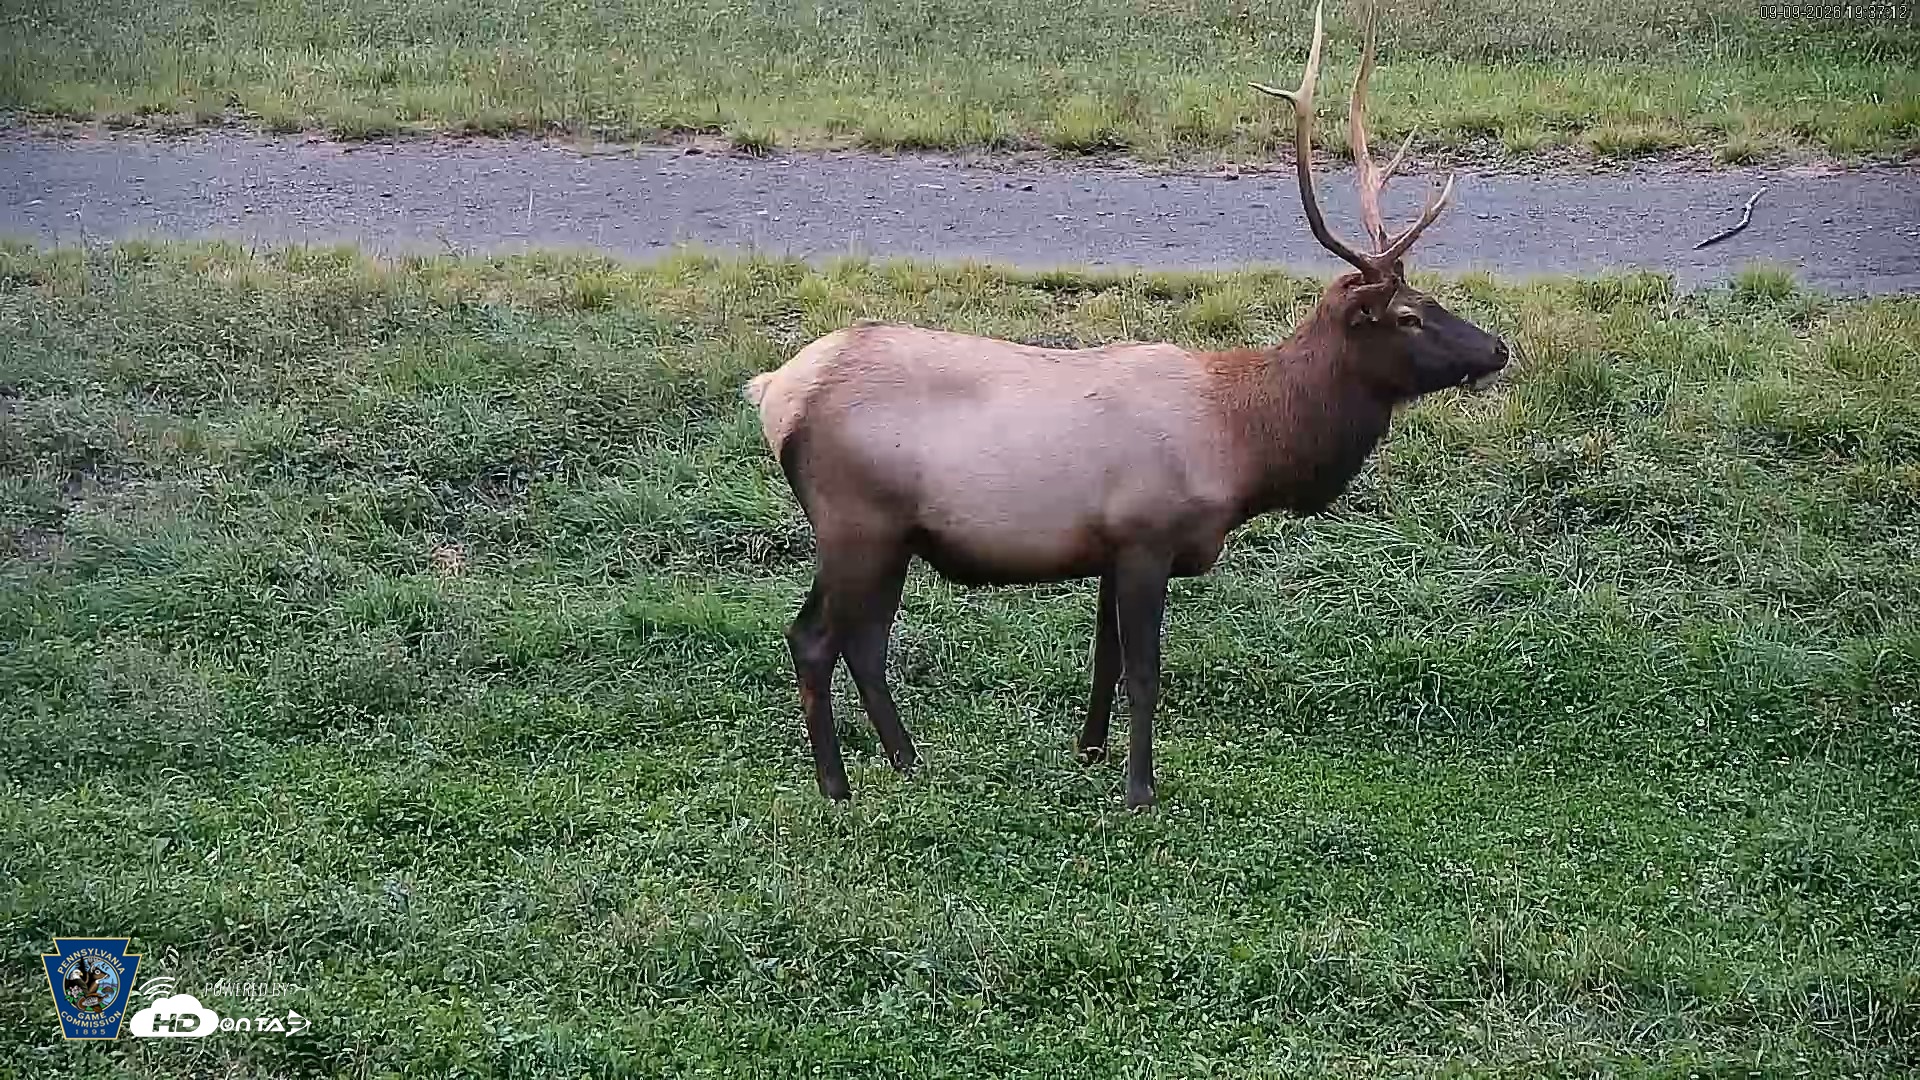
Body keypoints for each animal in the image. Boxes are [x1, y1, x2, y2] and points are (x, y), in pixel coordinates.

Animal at [743, 0, 1509, 809]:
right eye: (1408, 316)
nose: (1497, 348)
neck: (1244, 445)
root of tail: (773, 392)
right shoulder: (1147, 535)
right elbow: (1144, 671)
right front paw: (1140, 789)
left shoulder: (1109, 548)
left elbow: (1103, 660)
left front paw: (1090, 751)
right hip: (855, 521)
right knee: (815, 639)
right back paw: (836, 785)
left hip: (891, 535)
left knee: (865, 641)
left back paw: (907, 761)